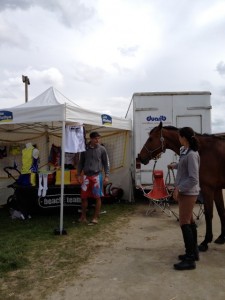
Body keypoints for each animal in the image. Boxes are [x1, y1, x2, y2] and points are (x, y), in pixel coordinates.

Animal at [138, 120, 225, 252]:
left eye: (151, 138)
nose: (140, 157)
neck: (204, 150)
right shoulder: (217, 189)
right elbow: (221, 211)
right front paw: (221, 237)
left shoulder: (208, 189)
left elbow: (209, 214)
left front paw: (205, 242)